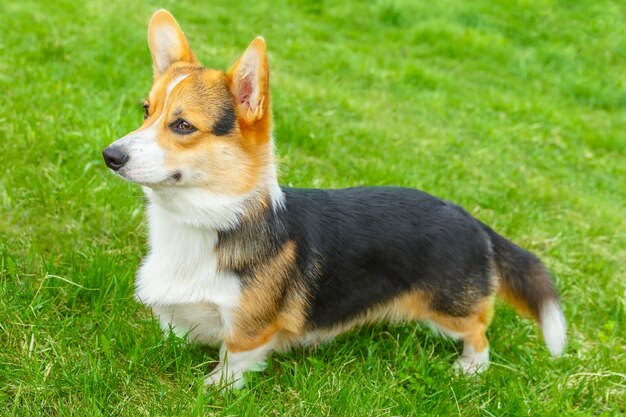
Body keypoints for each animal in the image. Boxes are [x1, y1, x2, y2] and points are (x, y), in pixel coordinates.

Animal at [102, 8, 564, 386]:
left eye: (183, 125)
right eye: (146, 111)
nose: (110, 155)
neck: (211, 221)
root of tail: (470, 219)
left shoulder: (250, 330)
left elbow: (234, 361)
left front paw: (214, 389)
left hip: (449, 309)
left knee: (479, 329)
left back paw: (471, 368)